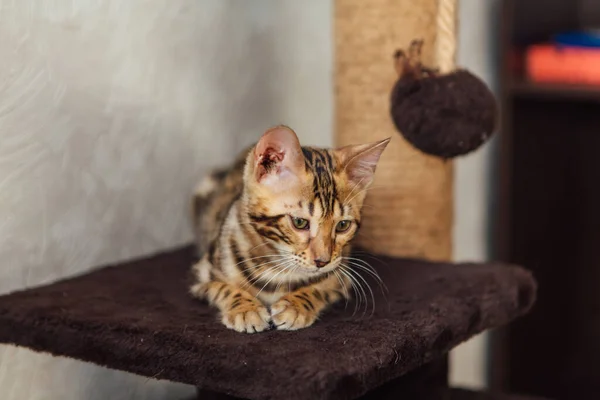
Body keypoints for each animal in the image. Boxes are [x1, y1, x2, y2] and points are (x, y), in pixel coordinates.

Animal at [190, 126, 392, 332]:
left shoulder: (340, 277)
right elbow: (224, 288)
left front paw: (296, 305)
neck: (276, 266)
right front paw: (246, 309)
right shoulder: (202, 276)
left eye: (343, 225)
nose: (322, 261)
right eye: (299, 222)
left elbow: (319, 288)